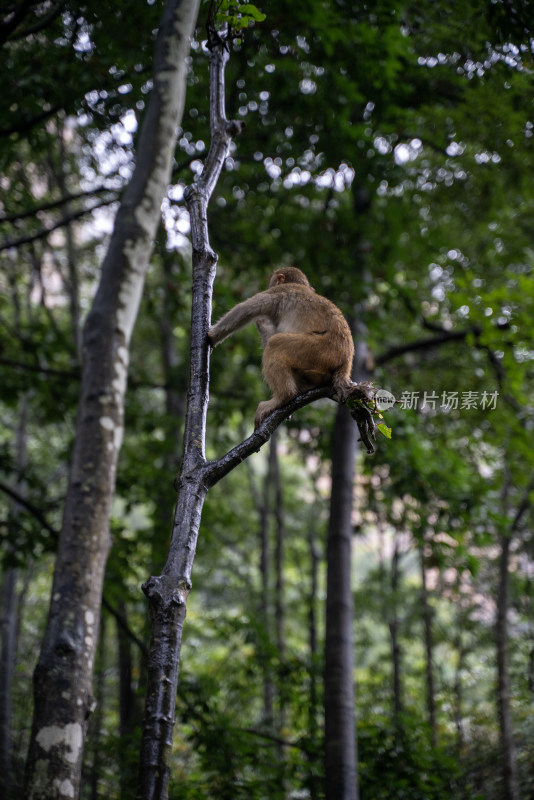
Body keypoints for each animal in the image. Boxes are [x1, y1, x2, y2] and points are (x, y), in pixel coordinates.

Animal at [209, 268, 356, 432]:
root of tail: (346, 361)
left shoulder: (278, 292)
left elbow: (246, 309)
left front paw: (212, 336)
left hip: (321, 350)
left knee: (275, 343)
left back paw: (284, 396)